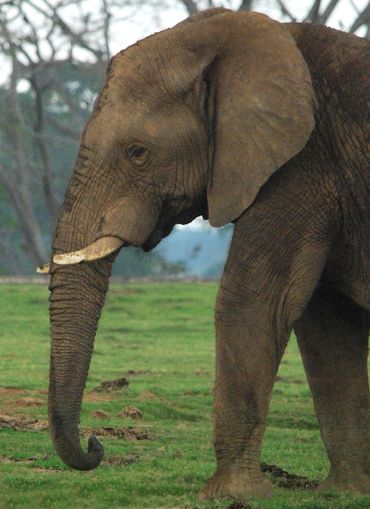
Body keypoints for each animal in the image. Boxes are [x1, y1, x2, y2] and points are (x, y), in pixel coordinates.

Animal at [45, 5, 370, 502]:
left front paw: (233, 495)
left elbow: (251, 302)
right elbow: (329, 325)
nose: (95, 444)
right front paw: (347, 493)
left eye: (138, 152)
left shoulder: (300, 166)